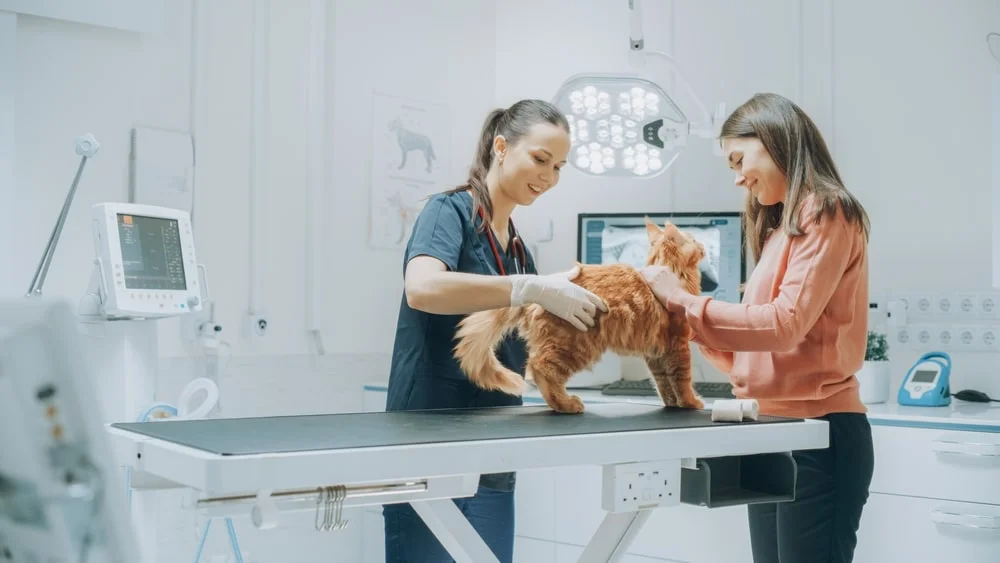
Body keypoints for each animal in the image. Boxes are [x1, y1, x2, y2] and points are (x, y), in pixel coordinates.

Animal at [452, 219, 704, 414]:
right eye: (693, 239)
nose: (702, 244)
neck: (672, 272)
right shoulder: (677, 346)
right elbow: (682, 379)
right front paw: (691, 402)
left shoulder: (657, 353)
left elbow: (663, 383)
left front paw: (672, 404)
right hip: (575, 346)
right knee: (540, 369)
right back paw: (565, 404)